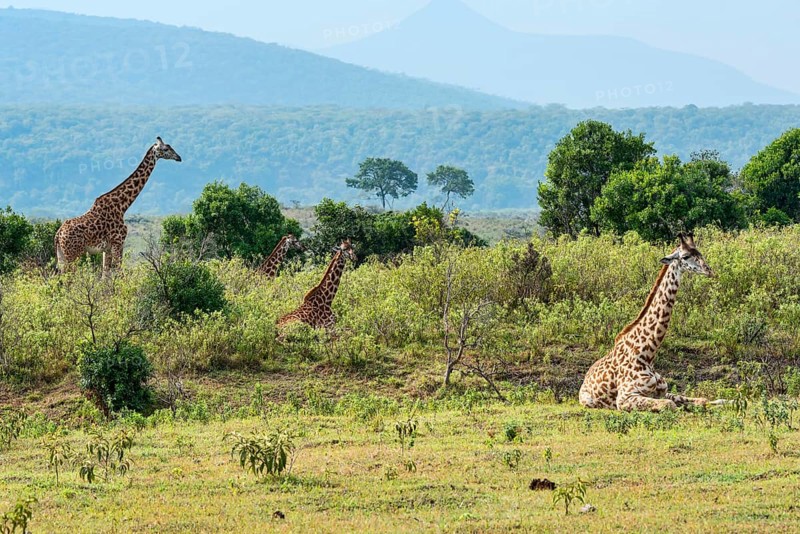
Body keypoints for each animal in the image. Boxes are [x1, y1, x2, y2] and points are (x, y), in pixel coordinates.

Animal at [55, 137, 182, 274]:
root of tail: (58, 235)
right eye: (166, 149)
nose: (179, 157)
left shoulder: (107, 248)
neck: (122, 206)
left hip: (61, 255)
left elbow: (106, 274)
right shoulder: (118, 242)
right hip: (73, 254)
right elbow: (119, 273)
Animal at [579, 233, 719, 412]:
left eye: (700, 253)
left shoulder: (663, 391)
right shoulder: (624, 398)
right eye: (685, 256)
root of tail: (584, 380)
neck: (647, 354)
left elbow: (702, 400)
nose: (709, 270)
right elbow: (670, 405)